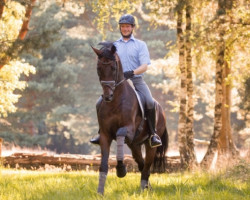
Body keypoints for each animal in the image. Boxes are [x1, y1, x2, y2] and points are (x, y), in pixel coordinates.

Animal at [91, 41, 168, 195]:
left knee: (147, 166)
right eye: (98, 68)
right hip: (134, 145)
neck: (115, 101)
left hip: (150, 144)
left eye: (113, 67)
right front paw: (100, 192)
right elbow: (103, 165)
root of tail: (161, 109)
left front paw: (121, 170)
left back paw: (144, 189)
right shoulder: (105, 135)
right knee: (142, 164)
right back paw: (147, 188)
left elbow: (120, 134)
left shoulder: (128, 130)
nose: (107, 96)